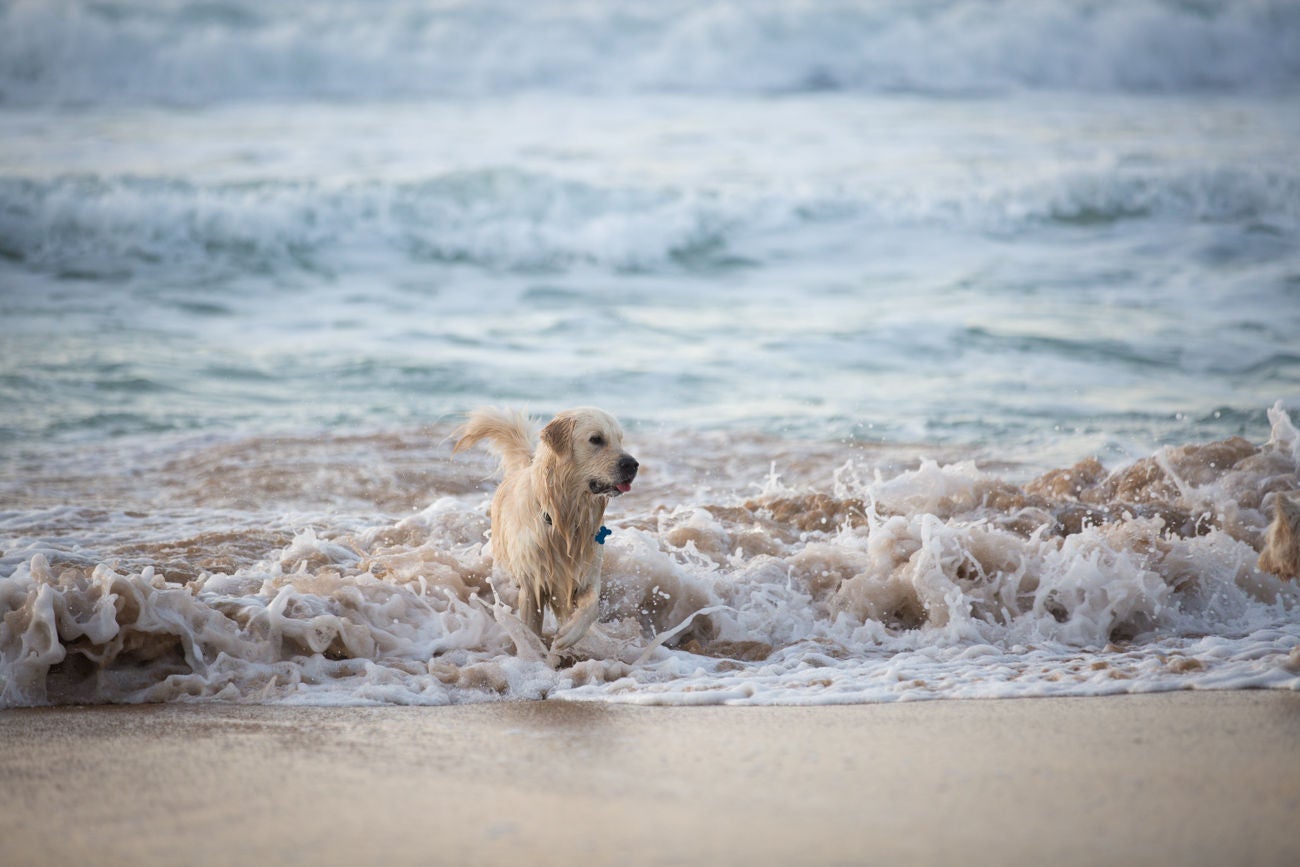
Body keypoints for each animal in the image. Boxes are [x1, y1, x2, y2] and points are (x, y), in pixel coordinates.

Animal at [457, 408, 639, 649]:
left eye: (620, 439)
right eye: (596, 439)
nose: (633, 465)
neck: (564, 519)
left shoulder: (587, 574)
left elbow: (591, 607)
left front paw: (569, 633)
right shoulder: (532, 584)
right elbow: (531, 627)